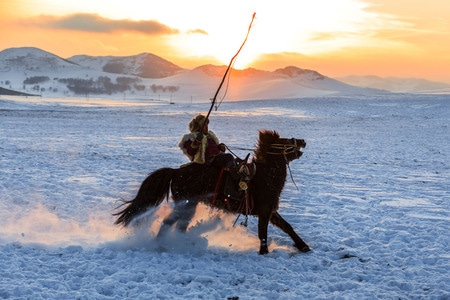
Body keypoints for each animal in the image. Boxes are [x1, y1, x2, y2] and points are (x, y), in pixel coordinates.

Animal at [113, 130, 310, 254]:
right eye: (284, 141)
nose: (302, 141)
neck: (264, 176)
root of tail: (176, 172)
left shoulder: (270, 211)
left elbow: (287, 227)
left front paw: (303, 246)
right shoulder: (264, 210)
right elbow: (263, 233)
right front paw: (264, 252)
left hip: (188, 205)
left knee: (179, 225)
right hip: (187, 204)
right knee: (169, 222)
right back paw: (164, 244)